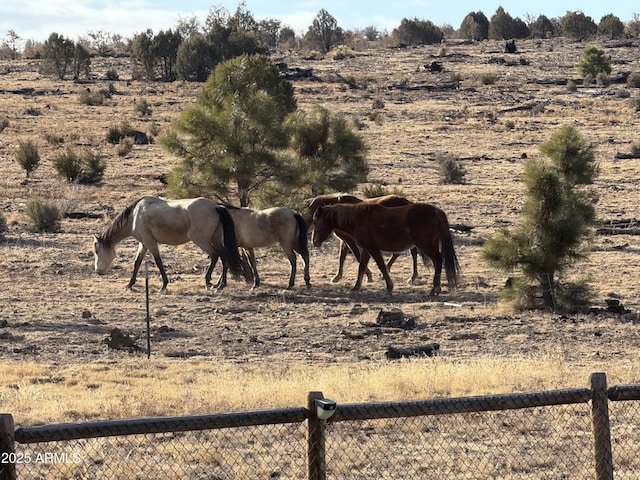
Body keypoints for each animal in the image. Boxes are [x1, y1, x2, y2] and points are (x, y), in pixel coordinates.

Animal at [312, 201, 458, 294]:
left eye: (315, 222)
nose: (314, 242)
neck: (358, 219)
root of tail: (435, 210)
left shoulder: (372, 249)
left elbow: (381, 265)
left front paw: (389, 286)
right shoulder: (365, 250)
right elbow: (361, 267)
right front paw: (356, 287)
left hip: (426, 246)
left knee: (438, 261)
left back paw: (434, 289)